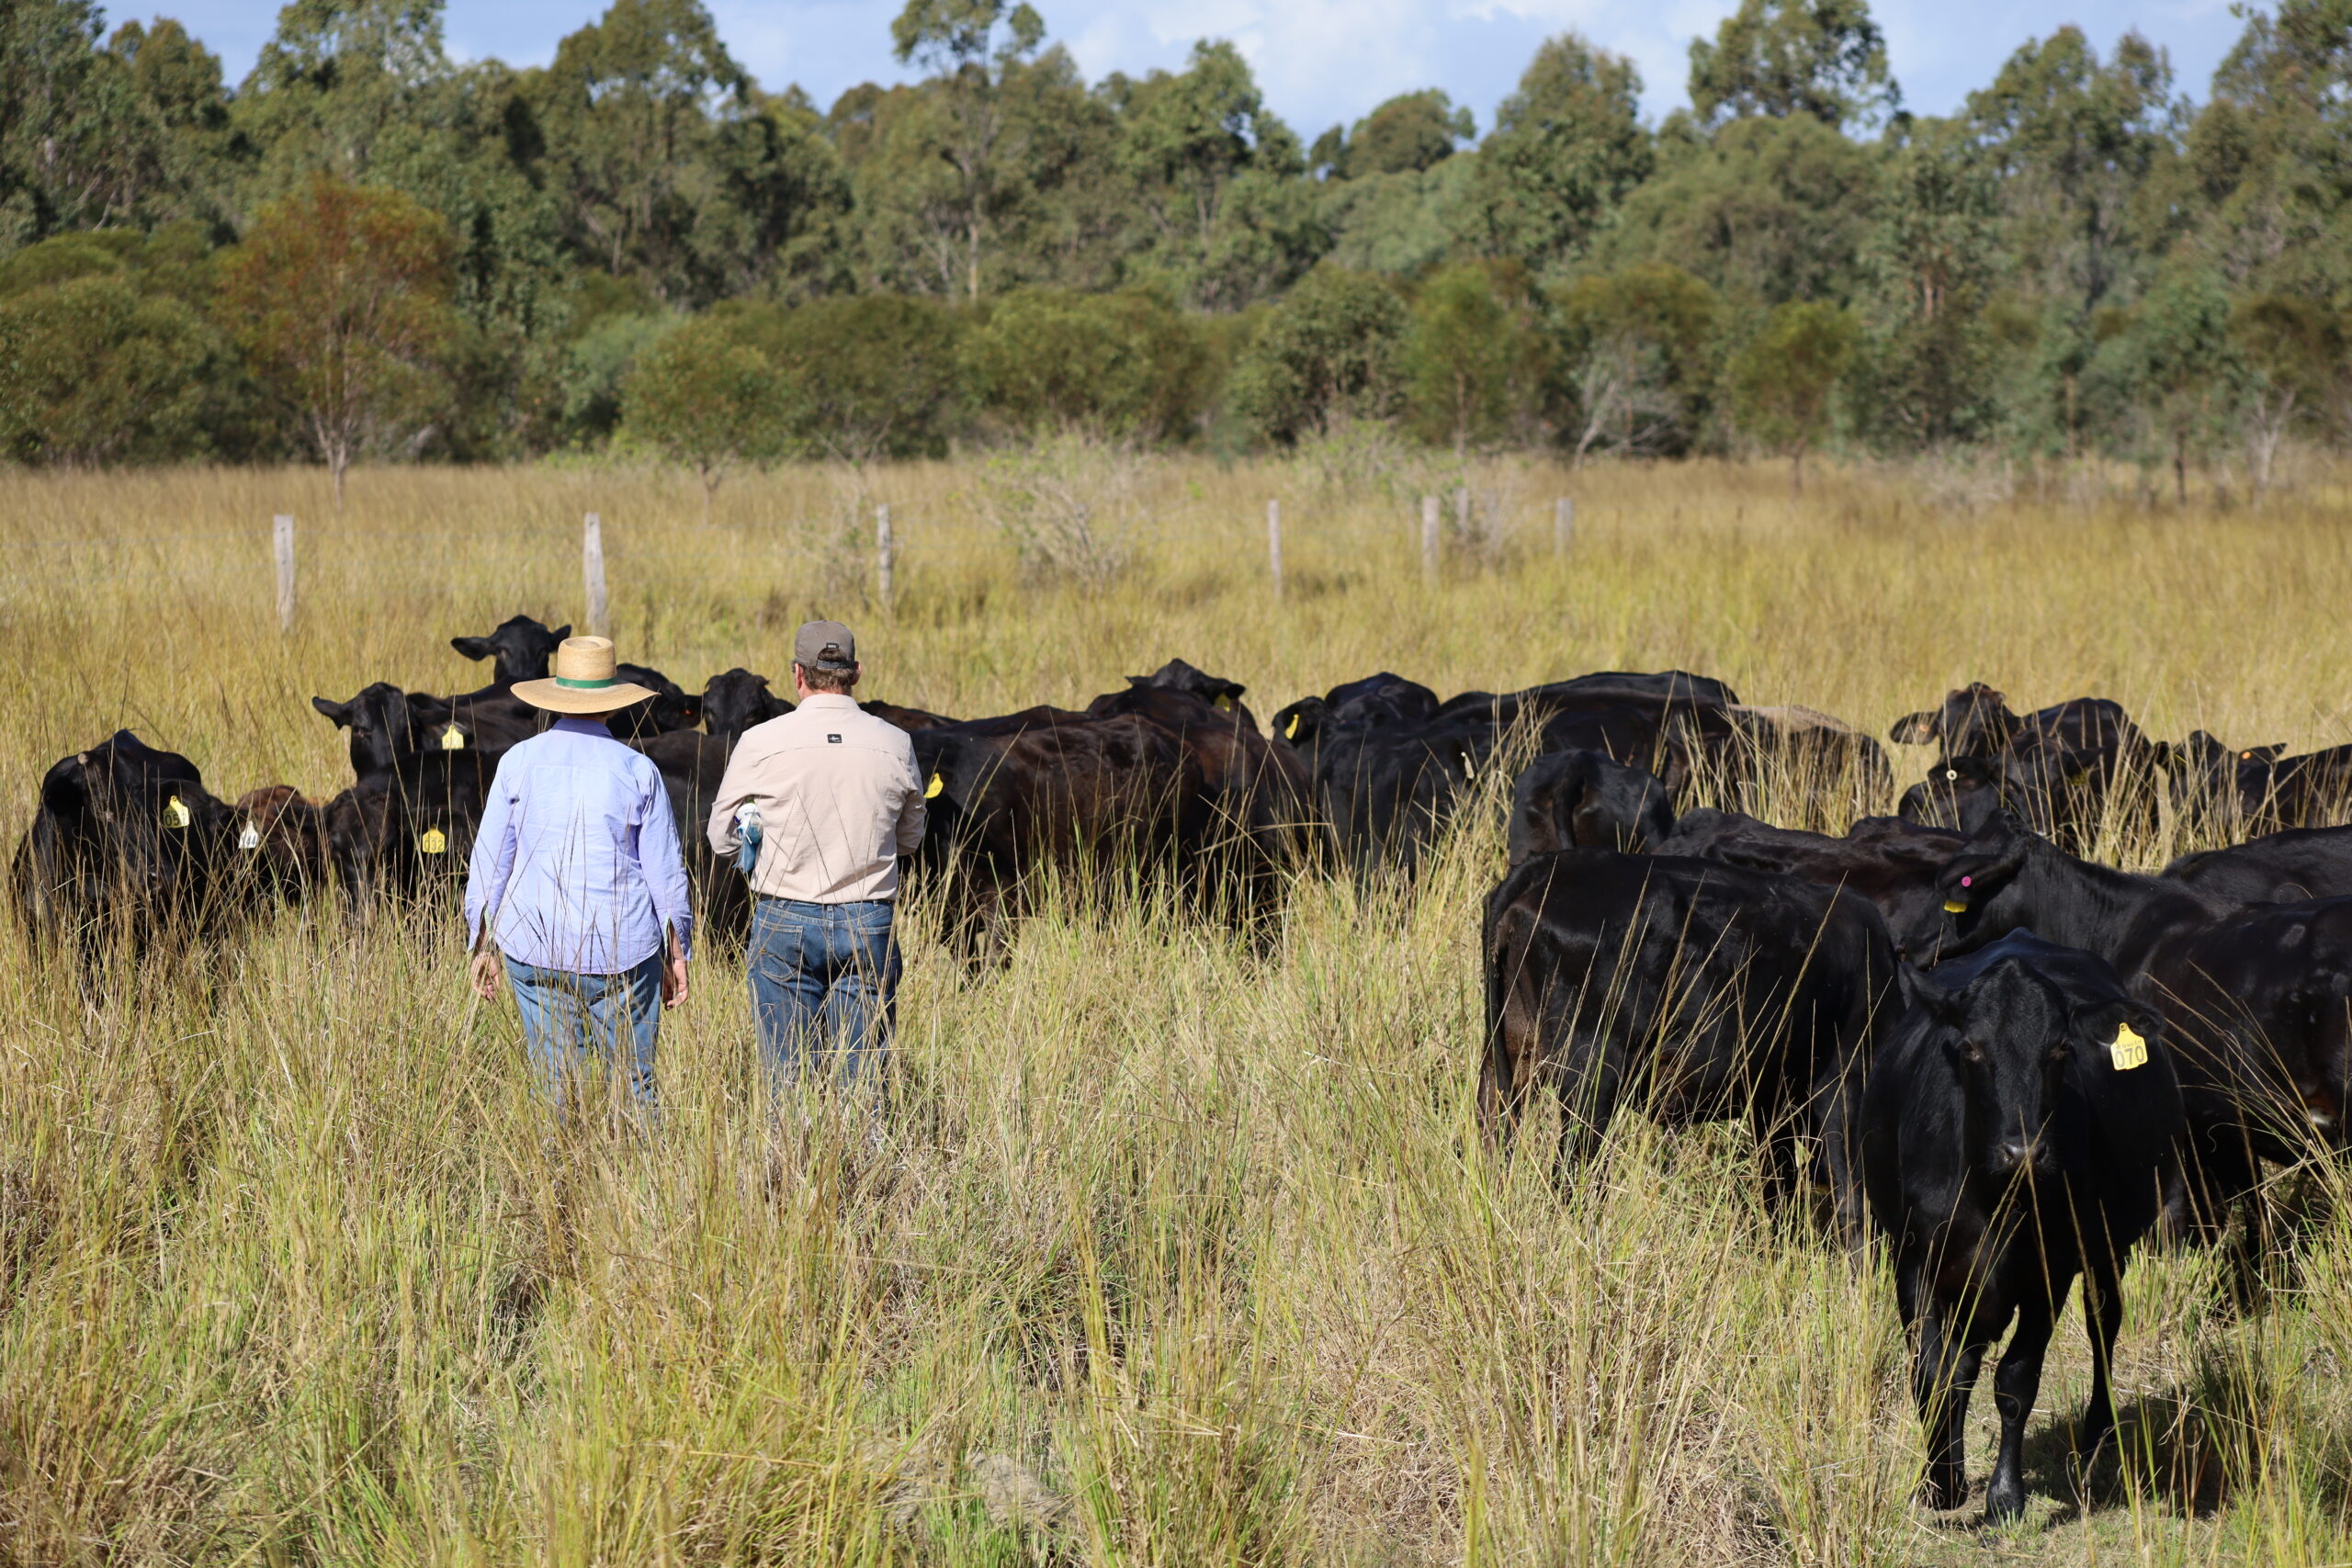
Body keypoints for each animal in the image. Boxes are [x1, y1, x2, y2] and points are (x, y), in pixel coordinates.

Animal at [1481, 849, 1899, 1251]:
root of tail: (1547, 867)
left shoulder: (1772, 1101)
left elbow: (1780, 1189)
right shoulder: (1843, 1079)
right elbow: (1852, 1202)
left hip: (1508, 1059)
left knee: (1497, 1141)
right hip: (1592, 1070)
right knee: (1575, 1173)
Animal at [1863, 933, 2180, 1523]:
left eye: (2060, 1050)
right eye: (1970, 1048)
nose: (2023, 1151)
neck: (1993, 1198)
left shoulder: (2049, 1270)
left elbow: (2016, 1378)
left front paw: (2005, 1495)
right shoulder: (1914, 1259)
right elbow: (1932, 1374)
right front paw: (1940, 1481)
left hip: (2106, 1248)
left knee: (2105, 1321)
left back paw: (2096, 1436)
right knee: (1962, 1364)